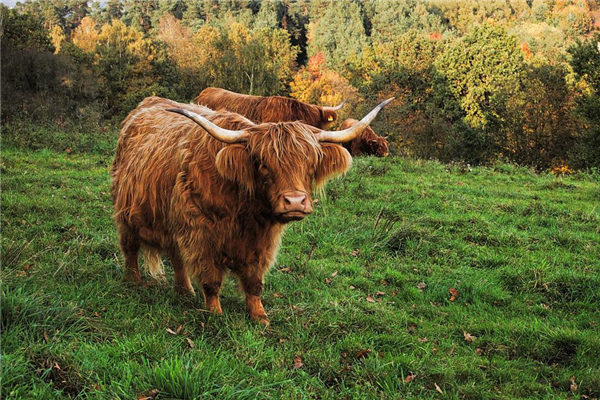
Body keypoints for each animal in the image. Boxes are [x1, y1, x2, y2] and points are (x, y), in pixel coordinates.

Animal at [111, 97, 394, 324]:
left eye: (311, 163)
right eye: (263, 164)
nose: (295, 202)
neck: (245, 211)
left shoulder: (262, 243)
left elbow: (254, 282)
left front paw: (260, 317)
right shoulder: (202, 235)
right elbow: (211, 280)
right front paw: (215, 314)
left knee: (176, 255)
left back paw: (184, 291)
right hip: (125, 213)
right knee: (130, 248)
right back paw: (133, 281)